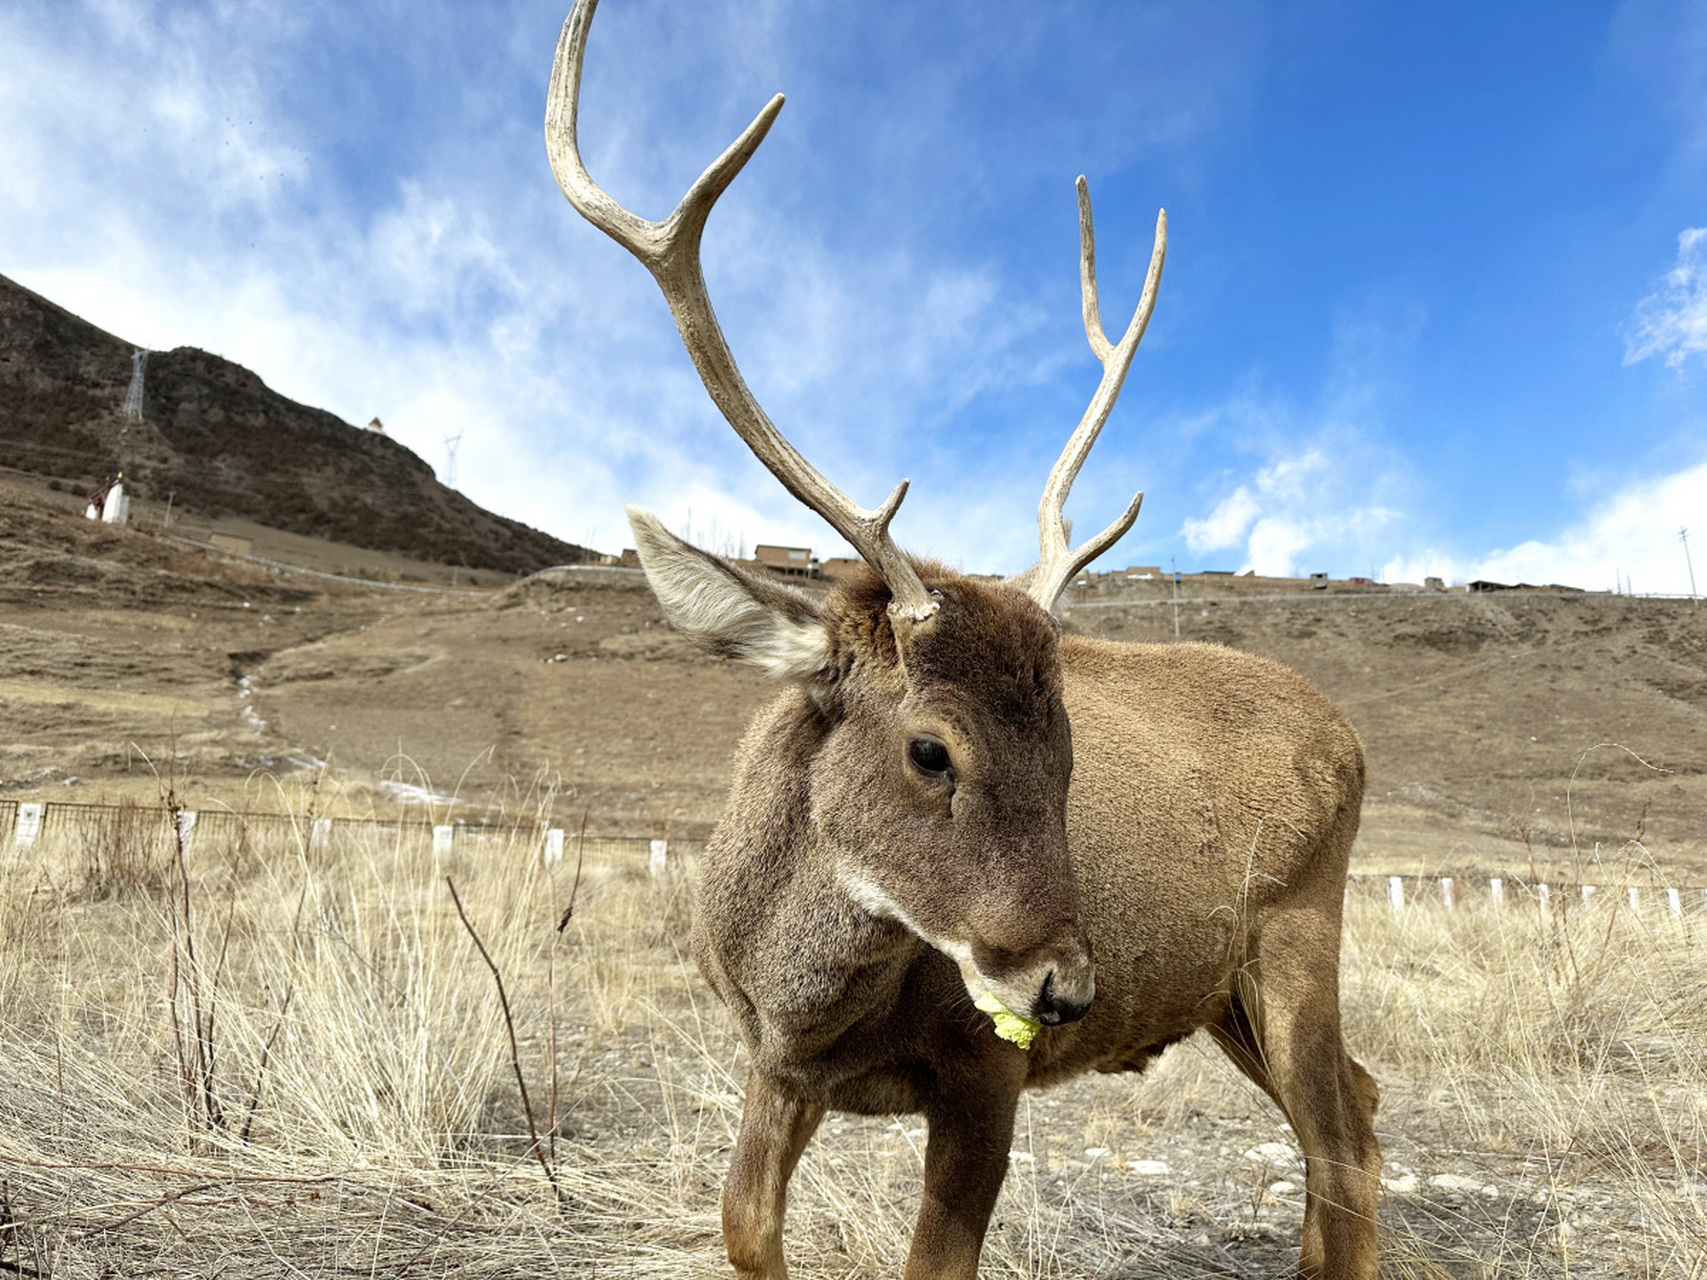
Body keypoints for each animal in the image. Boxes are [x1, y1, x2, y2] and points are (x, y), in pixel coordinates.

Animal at [553, 5, 1379, 1276]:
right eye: (931, 747)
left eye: (1070, 750)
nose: (1066, 987)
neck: (800, 1005)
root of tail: (1352, 740)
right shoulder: (771, 1067)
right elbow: (745, 1230)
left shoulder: (988, 1072)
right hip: (1224, 993)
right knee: (1360, 1109)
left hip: (1299, 932)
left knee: (1340, 1133)